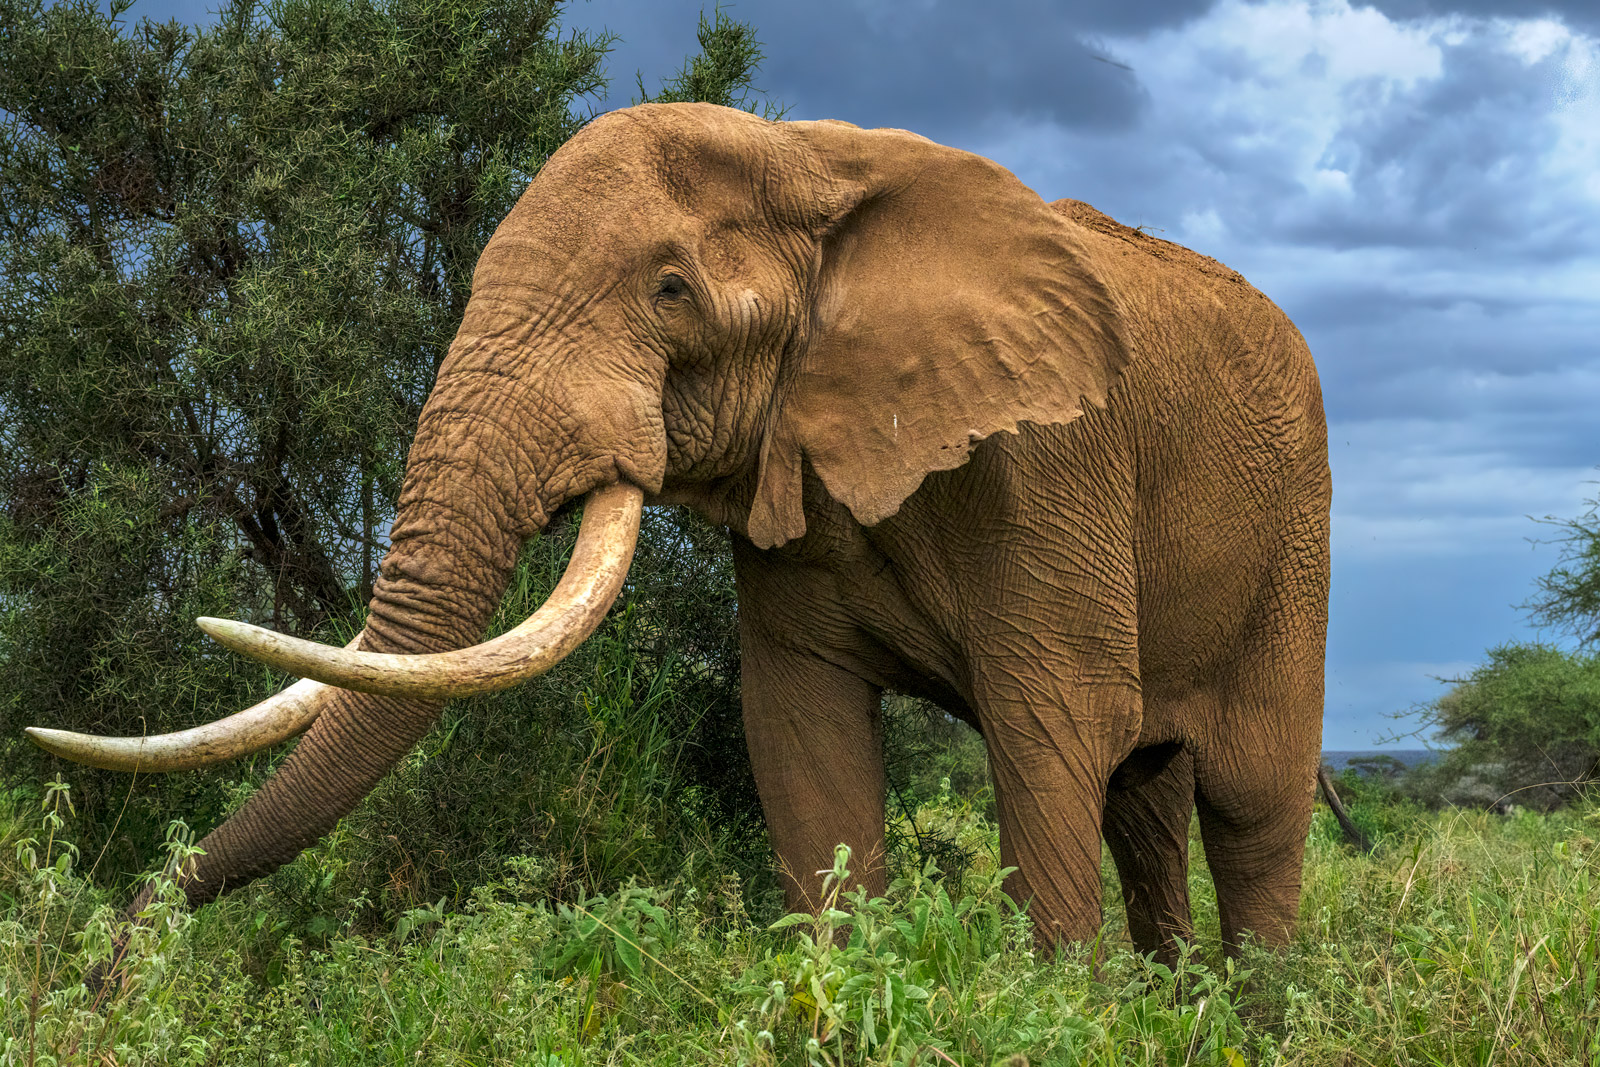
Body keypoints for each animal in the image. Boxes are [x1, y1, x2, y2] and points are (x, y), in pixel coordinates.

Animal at [31, 103, 1331, 966]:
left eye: (668, 291)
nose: (102, 975)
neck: (813, 152)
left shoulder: (1048, 464)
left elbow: (1050, 728)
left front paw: (1049, 1006)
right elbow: (801, 736)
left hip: (1295, 534)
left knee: (1251, 806)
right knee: (1147, 806)